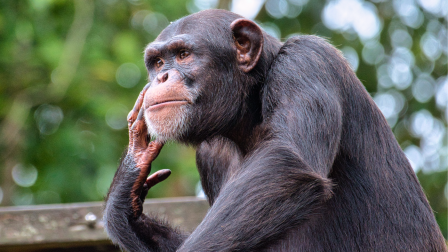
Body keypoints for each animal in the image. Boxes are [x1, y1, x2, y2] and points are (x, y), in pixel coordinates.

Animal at [103, 8, 446, 251]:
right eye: (159, 62)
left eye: (183, 55)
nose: (161, 77)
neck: (248, 113)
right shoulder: (210, 155)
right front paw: (128, 187)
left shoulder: (306, 62)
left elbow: (285, 164)